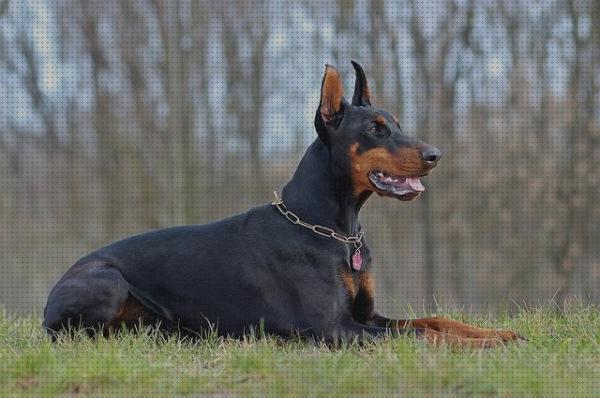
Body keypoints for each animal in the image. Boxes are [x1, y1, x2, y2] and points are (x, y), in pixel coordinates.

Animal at [44, 60, 524, 346]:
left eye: (398, 124)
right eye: (376, 129)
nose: (435, 155)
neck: (334, 229)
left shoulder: (367, 316)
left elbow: (435, 322)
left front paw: (499, 334)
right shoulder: (336, 328)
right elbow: (424, 336)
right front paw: (483, 346)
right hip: (107, 280)